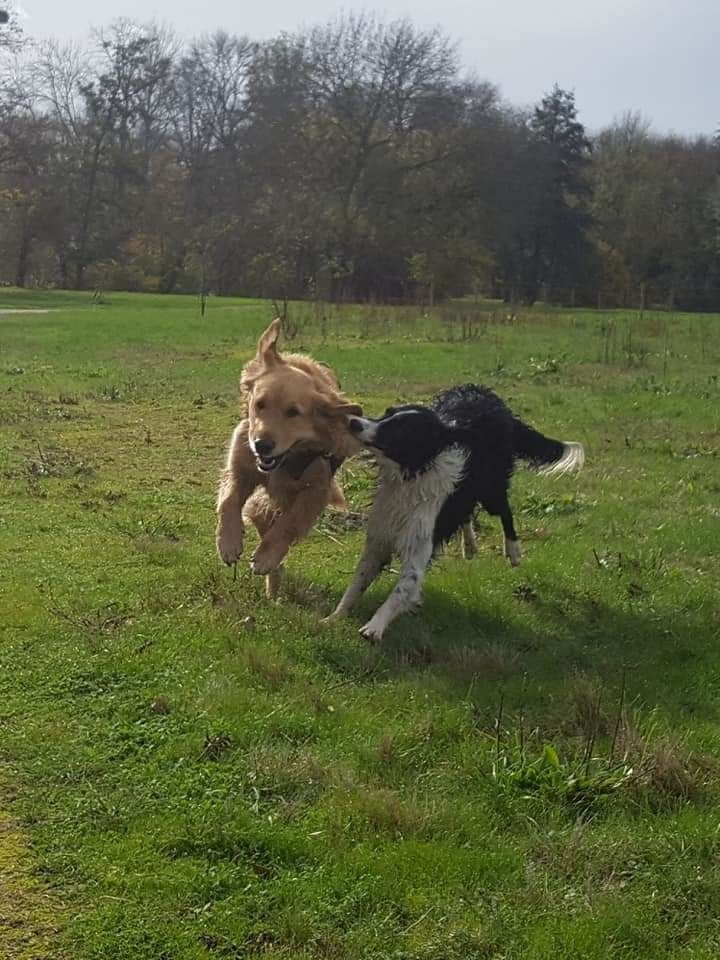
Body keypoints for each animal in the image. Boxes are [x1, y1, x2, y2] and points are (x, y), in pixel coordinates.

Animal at [215, 319, 362, 597]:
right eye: (259, 404)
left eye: (293, 412)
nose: (262, 445)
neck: (287, 459)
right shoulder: (241, 465)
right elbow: (228, 501)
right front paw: (228, 542)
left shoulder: (316, 490)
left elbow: (289, 523)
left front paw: (267, 556)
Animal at [326, 384, 585, 640]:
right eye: (386, 413)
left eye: (399, 430)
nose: (354, 422)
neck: (413, 473)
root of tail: (488, 396)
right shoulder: (379, 538)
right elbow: (357, 583)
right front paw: (334, 618)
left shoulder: (417, 548)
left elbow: (401, 590)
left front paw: (375, 626)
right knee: (467, 513)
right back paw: (469, 546)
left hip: (491, 487)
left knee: (505, 510)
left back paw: (513, 551)